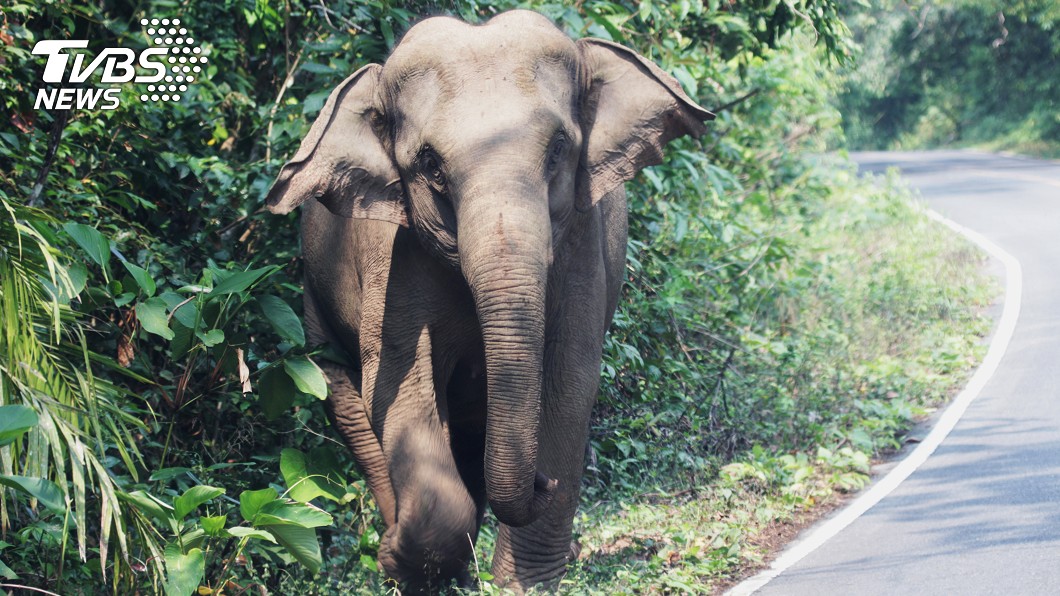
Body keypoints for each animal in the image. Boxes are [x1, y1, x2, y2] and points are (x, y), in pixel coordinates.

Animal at [265, 9, 712, 593]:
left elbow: (570, 377)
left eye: (558, 149)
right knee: (345, 397)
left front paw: (523, 583)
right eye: (430, 164)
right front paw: (406, 566)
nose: (542, 483)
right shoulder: (392, 255)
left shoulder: (581, 240)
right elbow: (398, 386)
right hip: (315, 303)